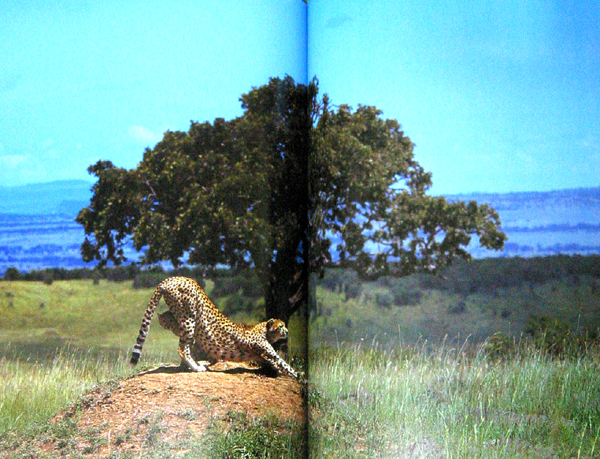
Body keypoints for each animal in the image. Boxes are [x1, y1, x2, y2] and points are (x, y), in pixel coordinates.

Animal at [132, 276, 300, 378]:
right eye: (281, 326)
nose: (287, 331)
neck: (263, 330)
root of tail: (170, 278)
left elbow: (279, 365)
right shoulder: (269, 354)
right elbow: (285, 365)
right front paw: (299, 376)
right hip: (189, 319)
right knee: (183, 348)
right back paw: (197, 367)